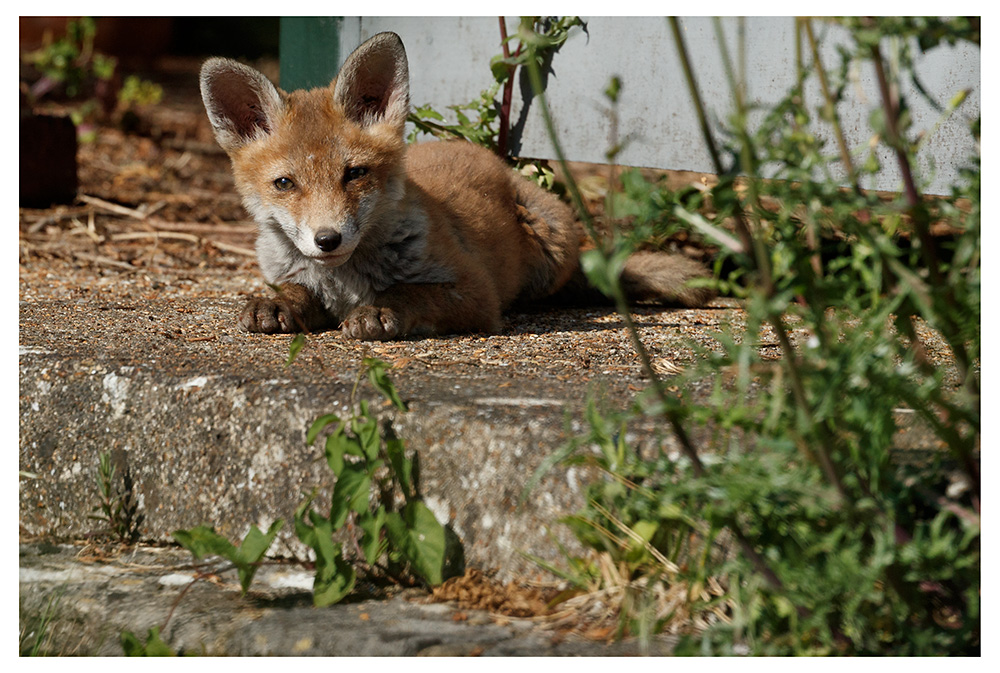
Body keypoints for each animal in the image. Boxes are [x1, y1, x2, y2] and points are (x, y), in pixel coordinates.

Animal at [200, 31, 713, 340]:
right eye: (285, 182)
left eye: (355, 174)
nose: (328, 240)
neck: (344, 280)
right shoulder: (292, 272)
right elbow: (296, 290)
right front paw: (277, 303)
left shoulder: (475, 292)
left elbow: (411, 294)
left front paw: (379, 311)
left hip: (550, 242)